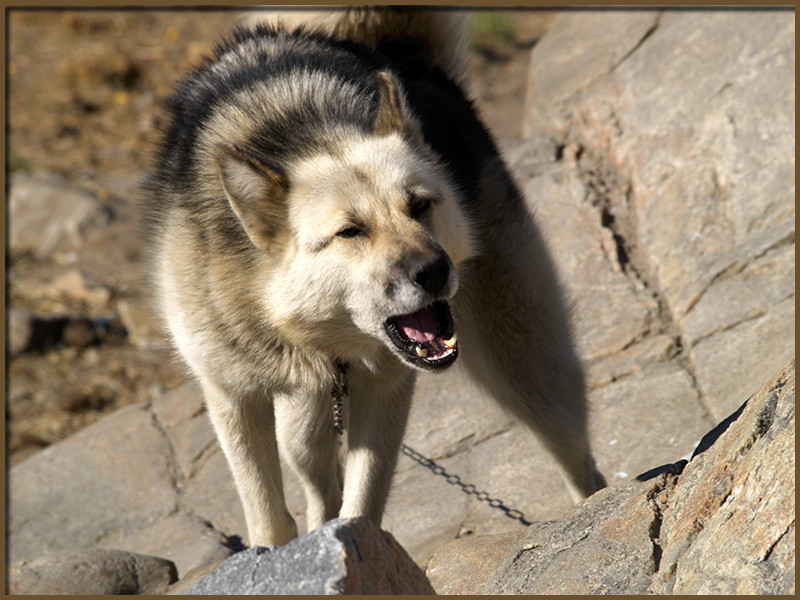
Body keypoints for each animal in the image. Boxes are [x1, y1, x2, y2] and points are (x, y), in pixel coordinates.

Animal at [145, 5, 608, 548]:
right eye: (350, 231)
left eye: (420, 206)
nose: (434, 271)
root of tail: (404, 58)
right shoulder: (232, 399)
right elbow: (270, 515)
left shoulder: (385, 389)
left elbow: (361, 504)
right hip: (299, 430)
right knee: (318, 482)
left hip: (531, 372)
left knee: (580, 460)